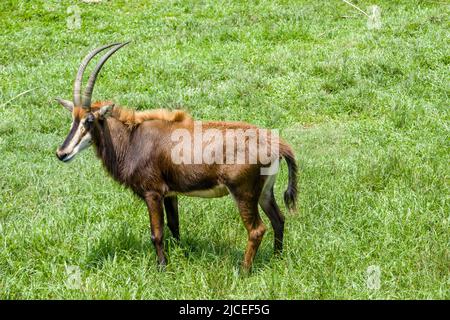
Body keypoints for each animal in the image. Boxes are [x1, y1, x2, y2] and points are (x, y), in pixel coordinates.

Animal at [54, 42, 298, 272]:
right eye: (73, 118)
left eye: (89, 120)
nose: (62, 153)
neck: (133, 139)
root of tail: (276, 143)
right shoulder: (170, 194)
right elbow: (174, 226)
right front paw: (181, 256)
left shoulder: (152, 193)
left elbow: (157, 233)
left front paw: (162, 268)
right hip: (264, 192)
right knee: (279, 219)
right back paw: (276, 259)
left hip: (243, 193)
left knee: (257, 230)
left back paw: (244, 271)